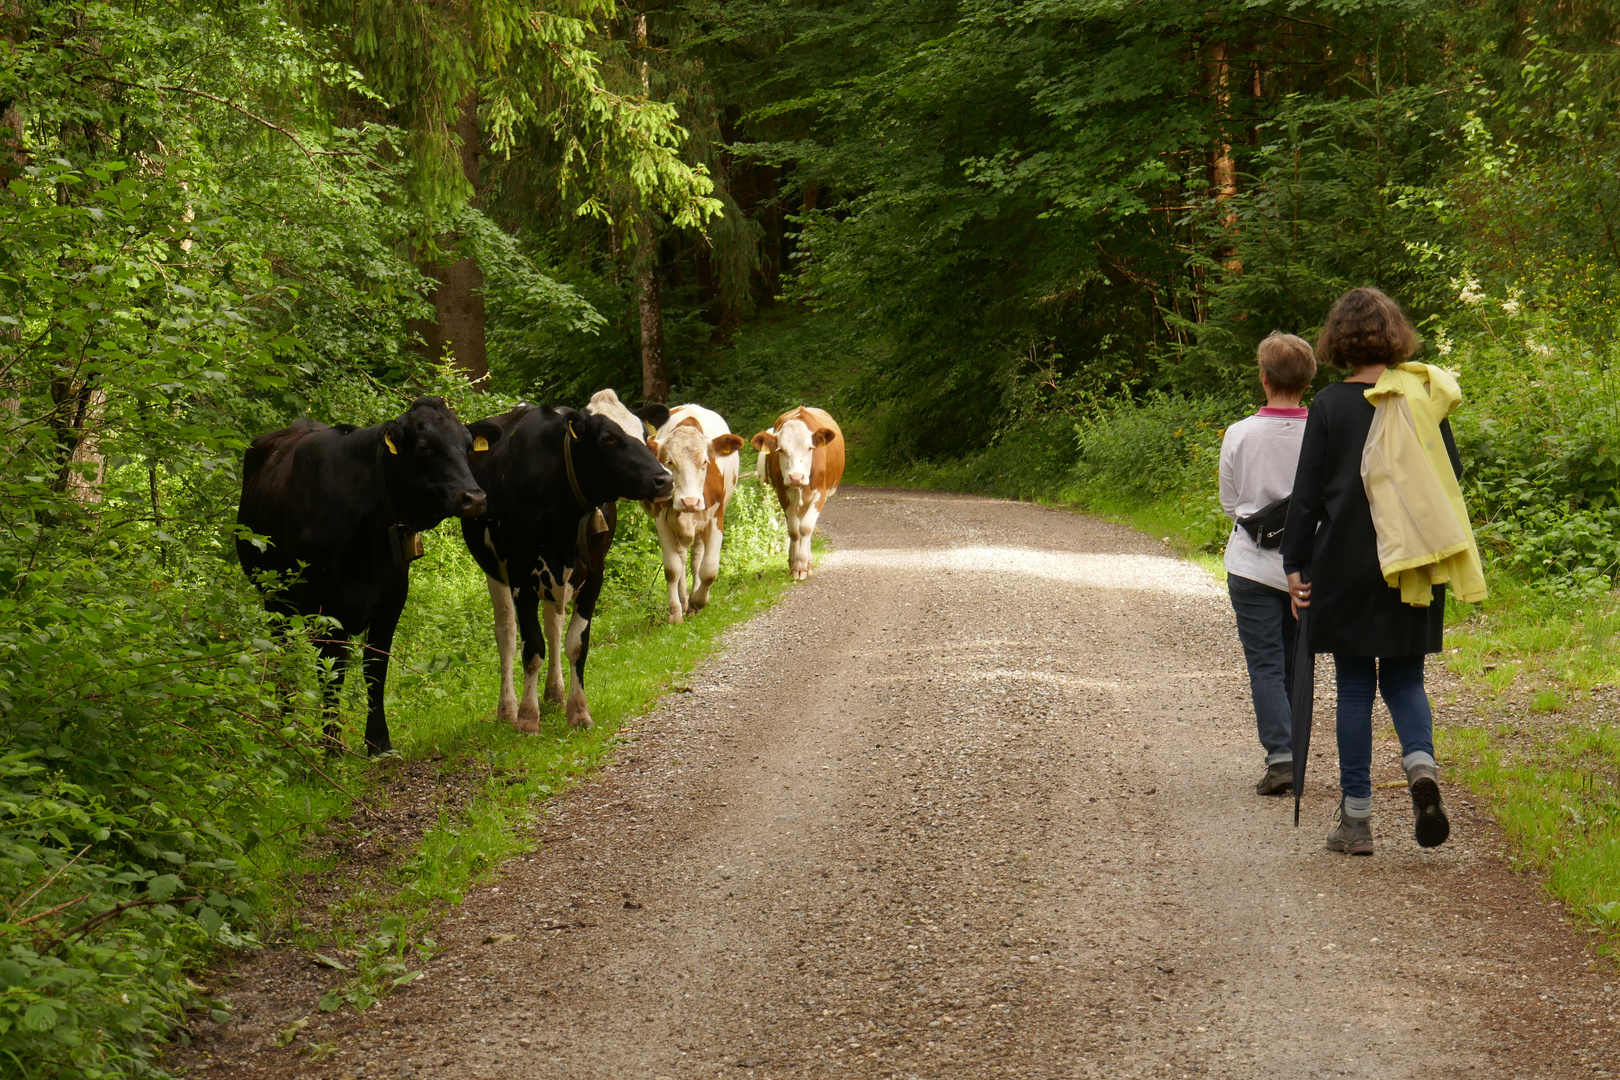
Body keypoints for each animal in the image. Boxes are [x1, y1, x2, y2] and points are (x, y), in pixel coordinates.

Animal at [236, 393, 486, 757]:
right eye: (424, 445)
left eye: (467, 446)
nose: (475, 498)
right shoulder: (325, 606)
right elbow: (333, 672)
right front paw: (331, 745)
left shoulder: (393, 597)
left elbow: (375, 667)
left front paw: (379, 742)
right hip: (274, 595)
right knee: (283, 653)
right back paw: (282, 724)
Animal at [463, 388, 670, 735]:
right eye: (608, 438)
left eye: (644, 433)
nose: (664, 479)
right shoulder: (520, 574)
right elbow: (532, 648)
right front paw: (527, 718)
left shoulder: (595, 572)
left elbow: (576, 644)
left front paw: (579, 711)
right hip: (495, 570)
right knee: (506, 634)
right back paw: (507, 708)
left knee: (553, 625)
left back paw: (555, 693)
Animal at [641, 404, 748, 625]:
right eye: (669, 462)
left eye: (705, 462)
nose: (690, 502)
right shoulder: (661, 521)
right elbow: (672, 568)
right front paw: (674, 612)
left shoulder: (716, 519)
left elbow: (709, 569)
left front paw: (698, 601)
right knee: (682, 559)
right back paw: (683, 601)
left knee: (696, 558)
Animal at [748, 404, 842, 579]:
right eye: (780, 450)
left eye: (810, 448)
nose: (796, 477)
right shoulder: (782, 494)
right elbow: (793, 530)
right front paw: (795, 564)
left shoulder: (820, 494)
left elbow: (806, 528)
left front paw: (803, 565)